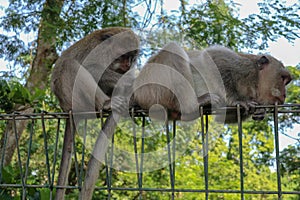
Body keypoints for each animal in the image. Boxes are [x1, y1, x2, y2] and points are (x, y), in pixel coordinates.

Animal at [51, 27, 140, 200]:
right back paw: (105, 103)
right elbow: (92, 69)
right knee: (71, 66)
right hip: (74, 97)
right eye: (123, 56)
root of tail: (65, 107)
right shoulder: (101, 51)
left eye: (132, 57)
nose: (127, 65)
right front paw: (132, 78)